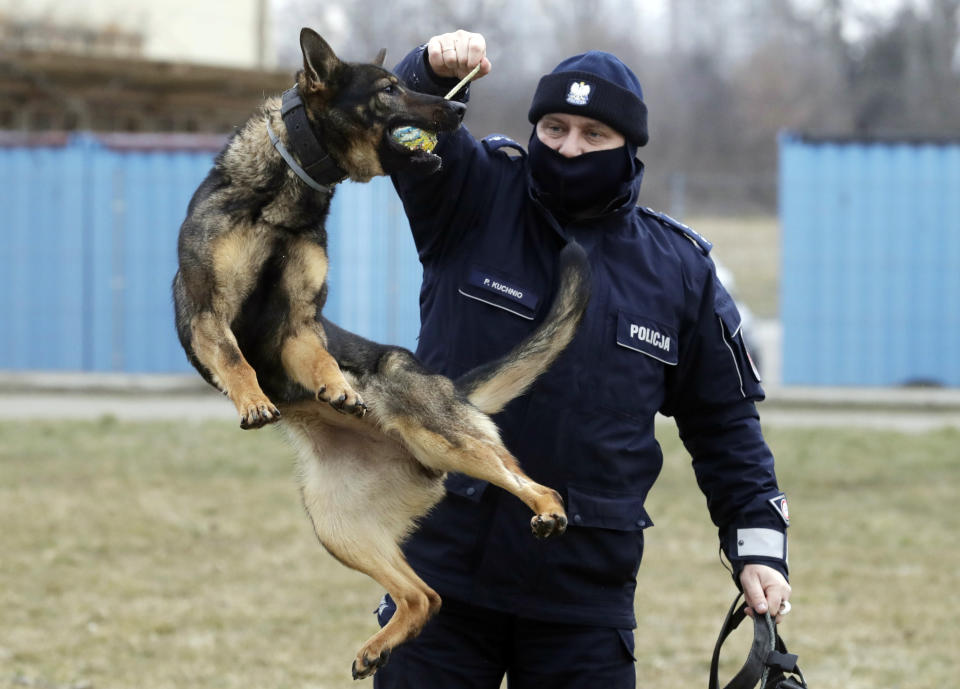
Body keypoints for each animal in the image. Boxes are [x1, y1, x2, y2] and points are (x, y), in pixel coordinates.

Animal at [174, 30, 592, 676]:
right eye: (390, 89)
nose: (459, 110)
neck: (289, 195)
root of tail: (451, 388)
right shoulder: (206, 315)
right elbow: (237, 360)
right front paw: (254, 399)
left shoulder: (300, 326)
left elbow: (319, 358)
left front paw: (340, 387)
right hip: (338, 524)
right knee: (424, 597)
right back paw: (376, 649)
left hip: (442, 441)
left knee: (529, 486)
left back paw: (544, 509)